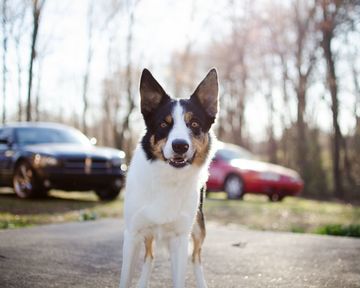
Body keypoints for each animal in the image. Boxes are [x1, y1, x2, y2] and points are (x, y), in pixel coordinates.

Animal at [119, 68, 218, 288]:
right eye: (164, 124)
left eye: (194, 124)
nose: (180, 145)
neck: (168, 177)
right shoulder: (132, 234)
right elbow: (126, 277)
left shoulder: (180, 238)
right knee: (150, 255)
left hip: (198, 227)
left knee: (196, 257)